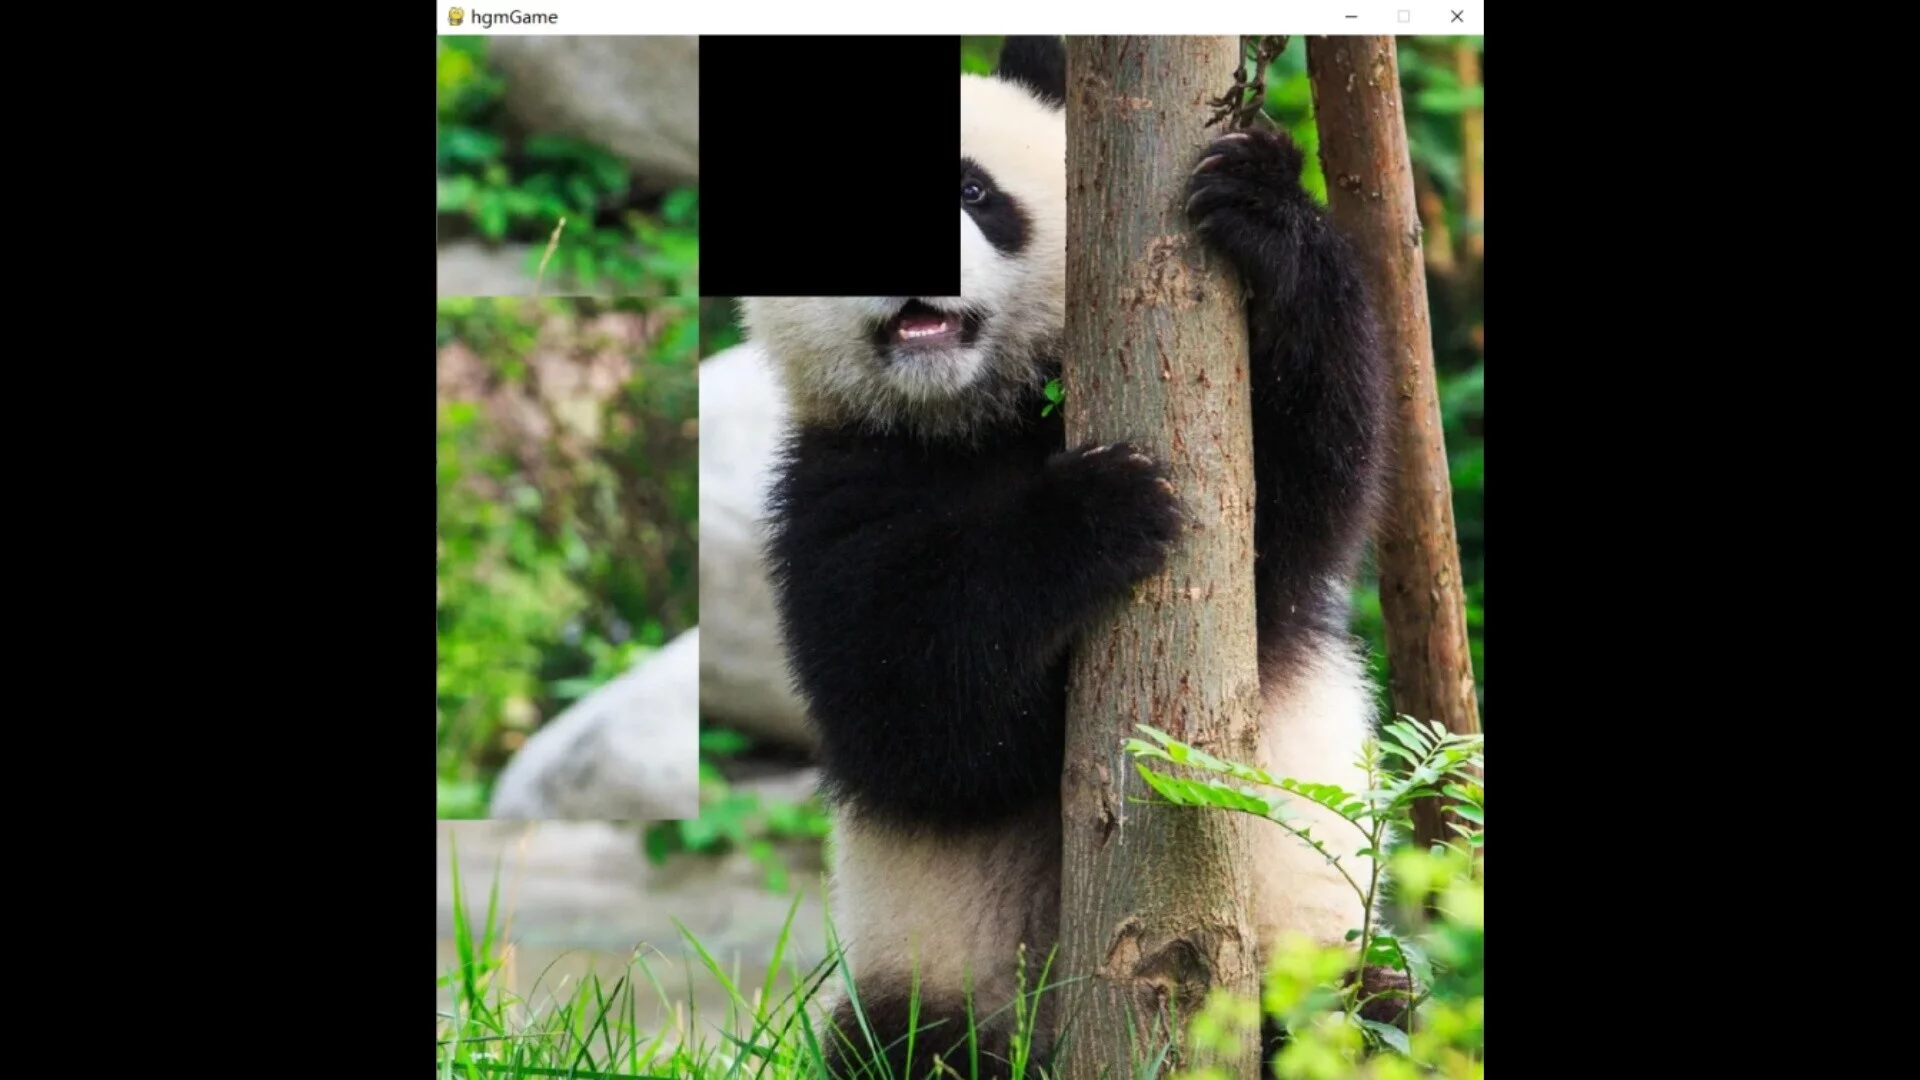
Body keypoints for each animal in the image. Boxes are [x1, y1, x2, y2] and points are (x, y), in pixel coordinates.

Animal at [746, 35, 1391, 1079]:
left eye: (973, 190)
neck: (973, 413)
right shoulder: (830, 487)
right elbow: (914, 715)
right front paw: (1098, 510)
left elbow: (1297, 506)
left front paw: (1263, 208)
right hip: (935, 981)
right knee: (902, 1045)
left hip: (1313, 958)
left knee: (1362, 1017)